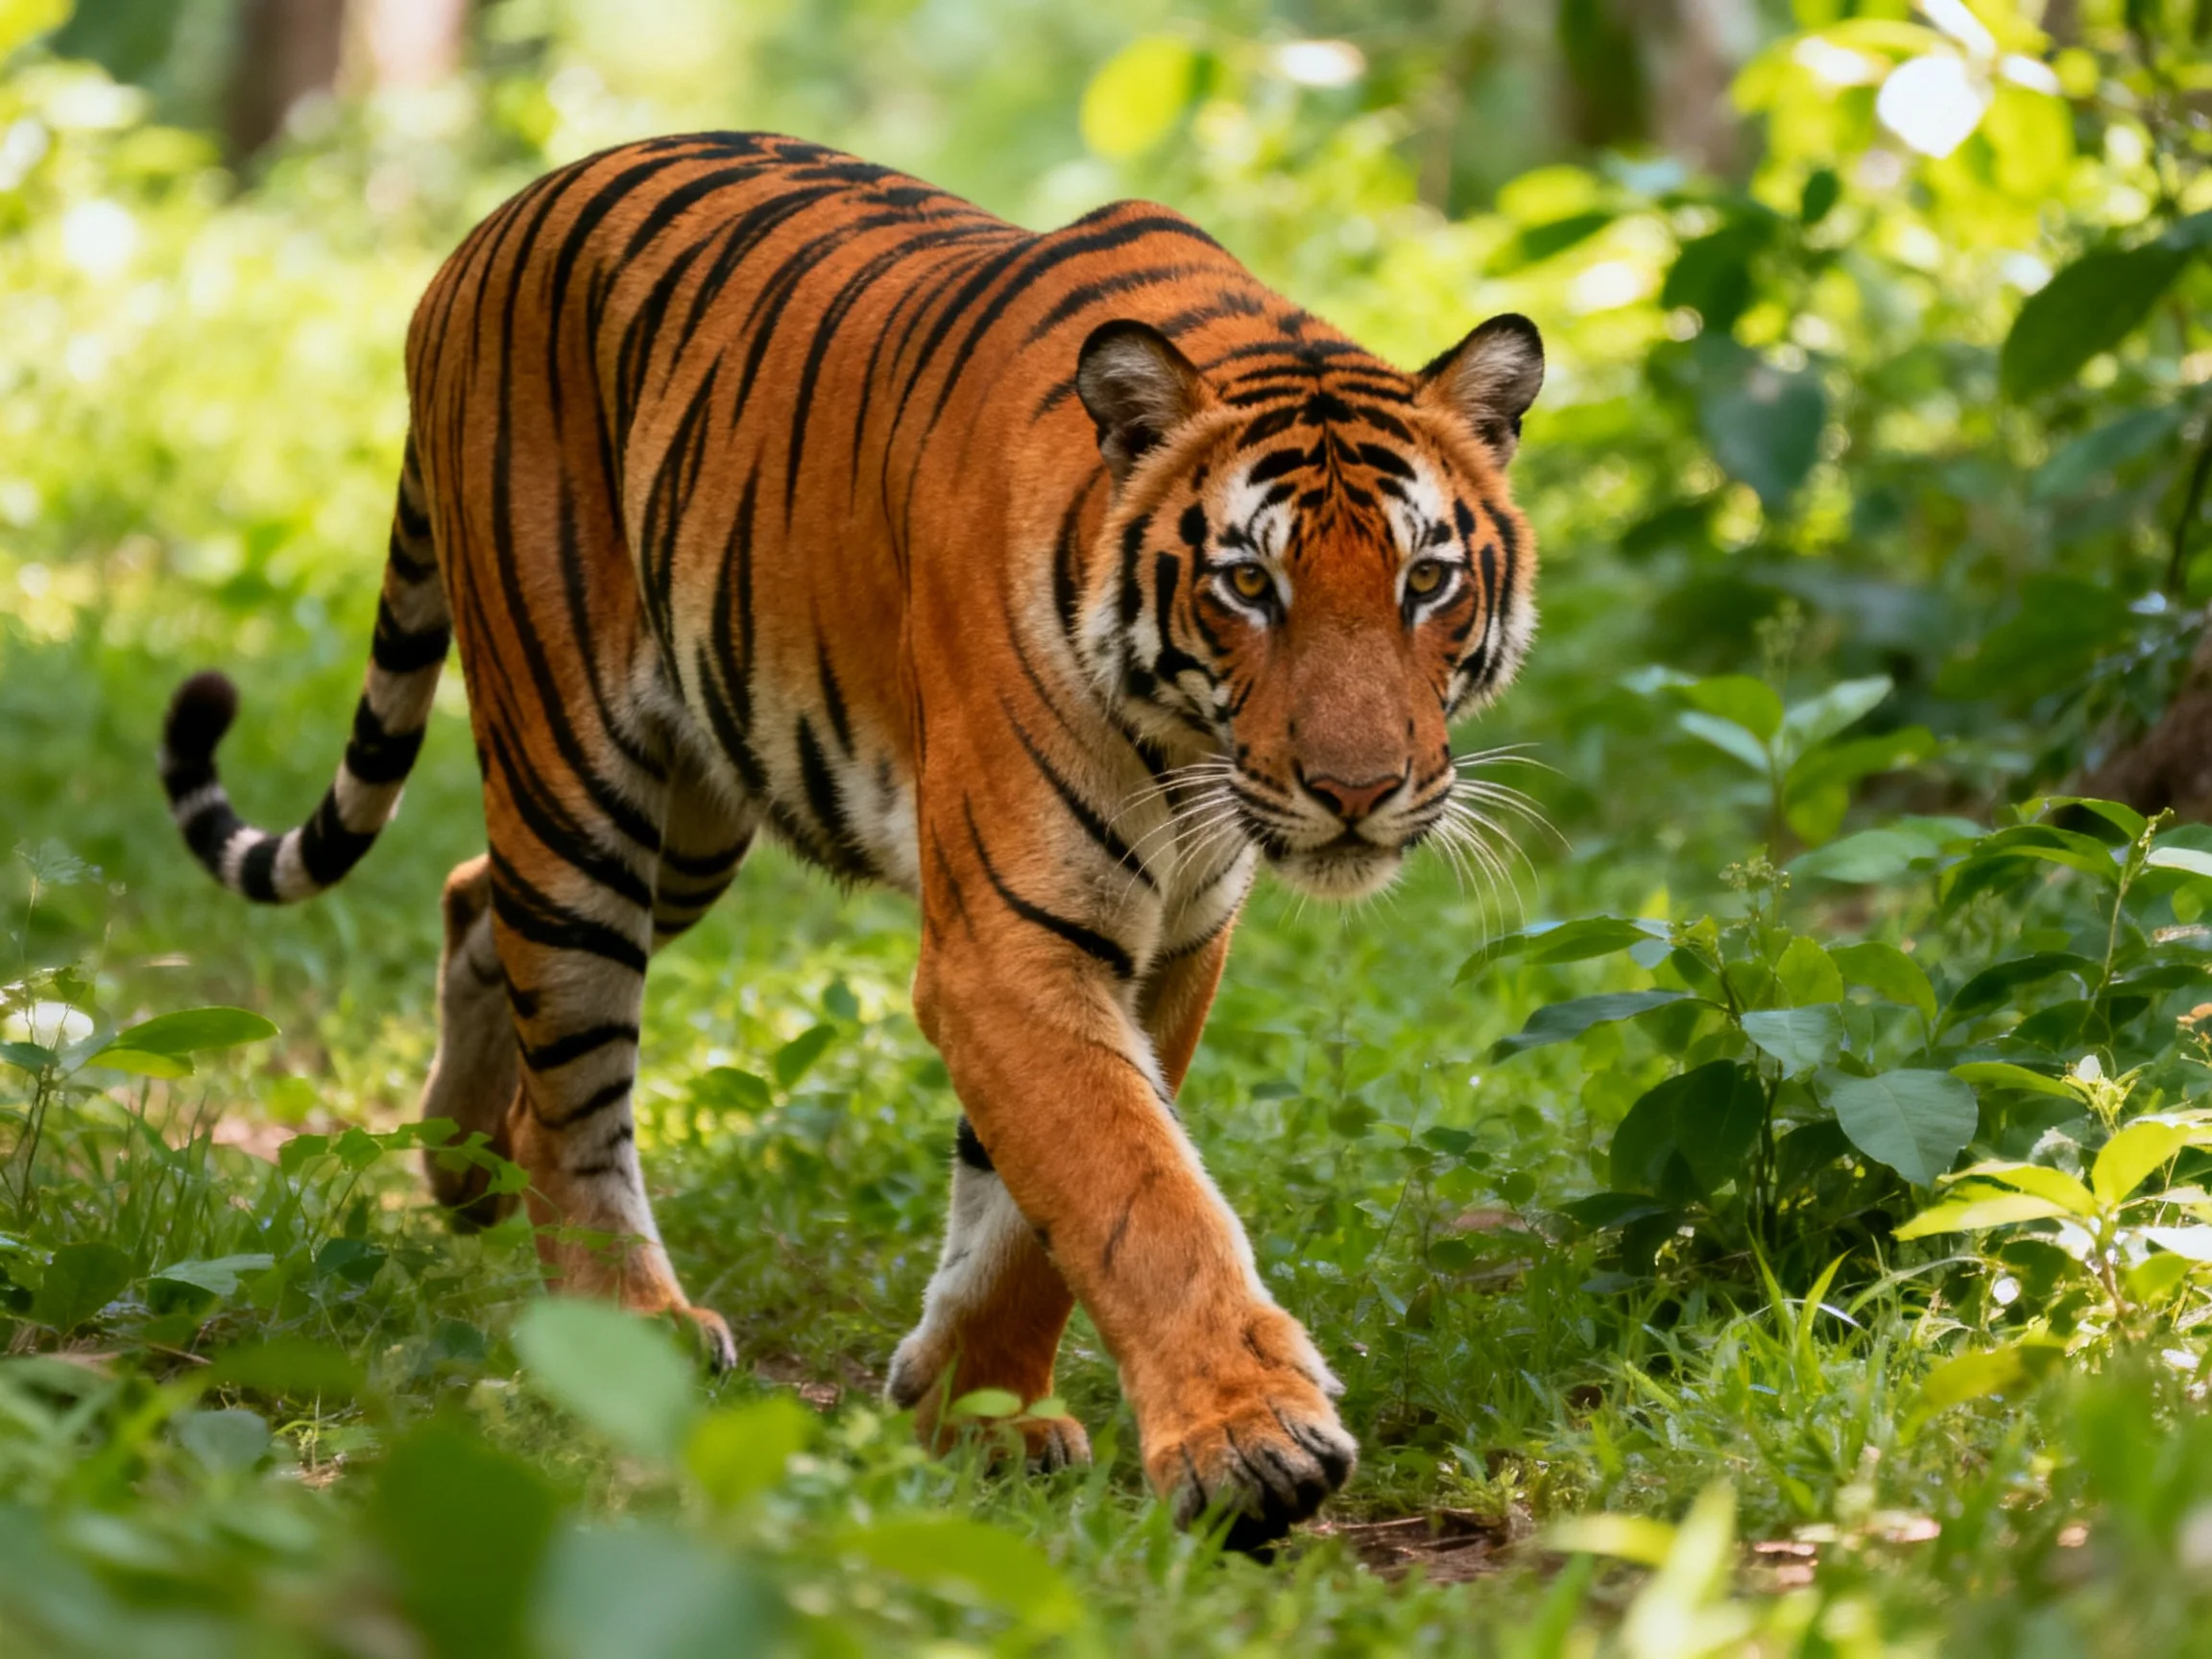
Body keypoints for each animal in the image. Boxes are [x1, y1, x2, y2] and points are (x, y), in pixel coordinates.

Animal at [156, 132, 1543, 1548]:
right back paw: (626, 1320)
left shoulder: (1169, 941)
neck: (1182, 747)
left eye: (1426, 581)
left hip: (694, 811)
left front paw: (976, 1410)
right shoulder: (1011, 943)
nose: (1358, 790)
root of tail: (487, 229)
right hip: (576, 772)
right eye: (1248, 585)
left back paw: (459, 1170)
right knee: (571, 1085)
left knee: (473, 901)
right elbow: (1136, 1192)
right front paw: (1249, 1440)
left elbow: (1036, 1213)